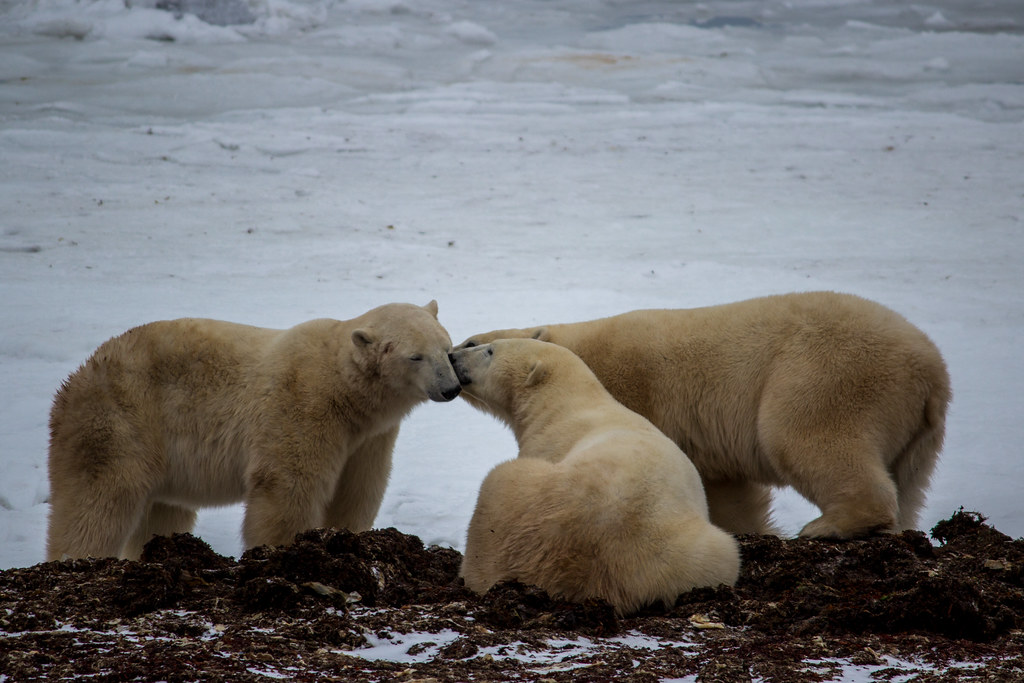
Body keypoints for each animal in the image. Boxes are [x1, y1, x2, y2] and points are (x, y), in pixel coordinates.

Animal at [49, 301, 458, 561]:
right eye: (415, 356)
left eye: (447, 347)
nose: (450, 388)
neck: (344, 388)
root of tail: (76, 378)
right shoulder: (302, 405)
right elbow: (288, 485)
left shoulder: (369, 437)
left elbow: (356, 491)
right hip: (120, 420)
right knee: (98, 501)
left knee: (162, 512)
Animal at [452, 339, 741, 618]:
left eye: (490, 350)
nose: (453, 357)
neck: (568, 403)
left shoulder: (547, 442)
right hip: (690, 559)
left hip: (518, 499)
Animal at [456, 292, 950, 540]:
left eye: (477, 343)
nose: (452, 354)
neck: (585, 355)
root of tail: (932, 371)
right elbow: (727, 490)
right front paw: (751, 531)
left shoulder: (640, 394)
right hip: (918, 434)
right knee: (910, 483)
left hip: (828, 374)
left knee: (804, 435)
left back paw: (823, 527)